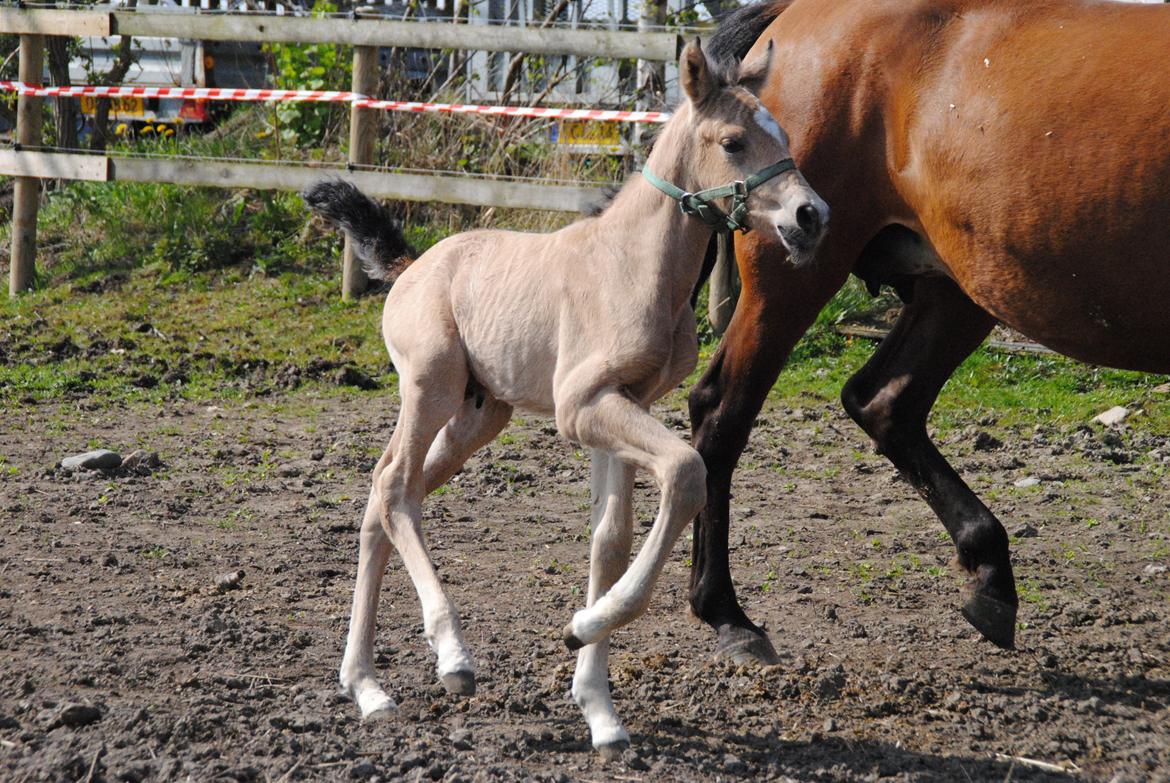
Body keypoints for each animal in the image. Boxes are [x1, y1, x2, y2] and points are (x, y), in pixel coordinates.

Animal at [306, 38, 828, 758]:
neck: (633, 266)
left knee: (382, 498)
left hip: (480, 413)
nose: (812, 217)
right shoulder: (580, 408)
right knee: (395, 489)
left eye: (782, 134)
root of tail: (411, 269)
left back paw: (367, 687)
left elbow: (609, 539)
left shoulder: (624, 402)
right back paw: (452, 656)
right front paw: (580, 626)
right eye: (732, 141)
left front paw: (600, 710)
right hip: (430, 387)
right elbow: (687, 472)